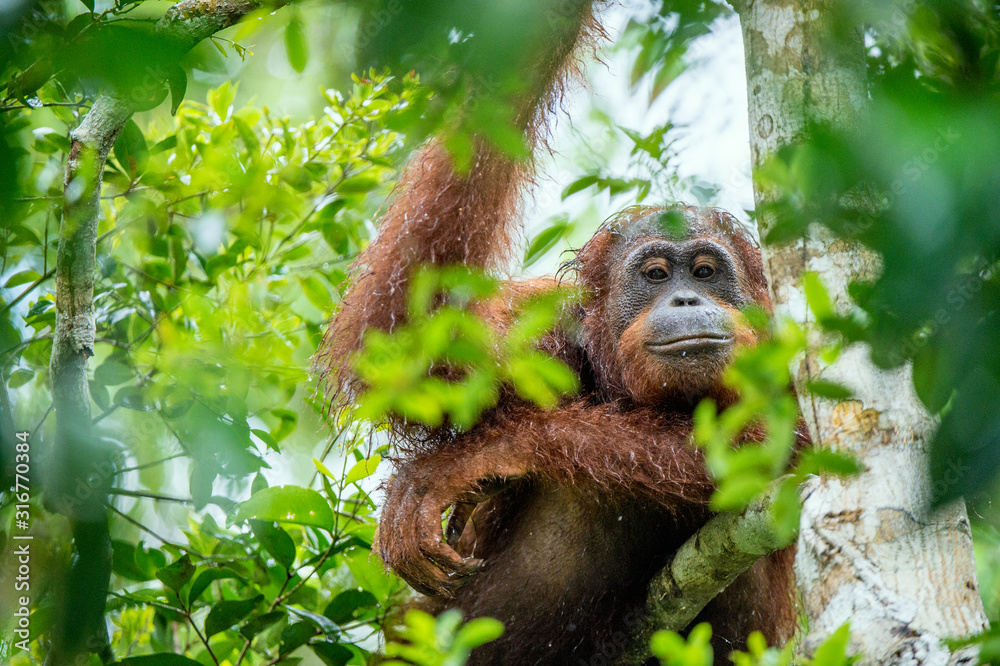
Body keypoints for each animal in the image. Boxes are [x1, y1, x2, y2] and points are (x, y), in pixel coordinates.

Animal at [315, 2, 802, 664]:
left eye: (705, 271)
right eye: (655, 274)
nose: (686, 297)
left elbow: (774, 449)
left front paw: (460, 466)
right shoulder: (542, 331)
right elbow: (405, 348)